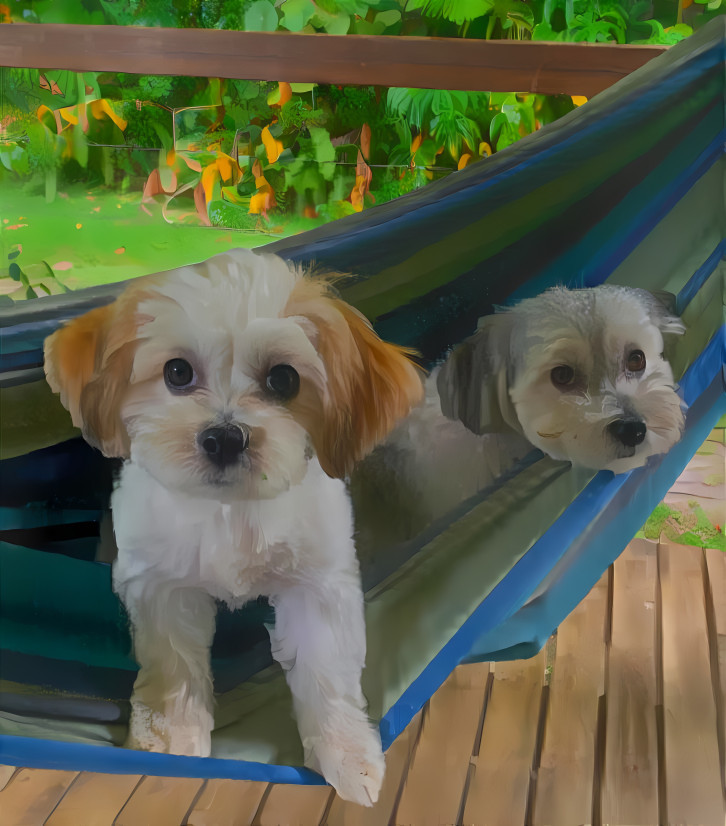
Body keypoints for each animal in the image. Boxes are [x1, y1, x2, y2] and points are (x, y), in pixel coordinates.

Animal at [42, 251, 424, 804]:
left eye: (284, 380)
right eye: (177, 372)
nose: (224, 437)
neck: (231, 511)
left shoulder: (316, 587)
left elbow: (326, 672)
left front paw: (347, 752)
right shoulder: (163, 587)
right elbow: (173, 668)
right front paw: (171, 737)